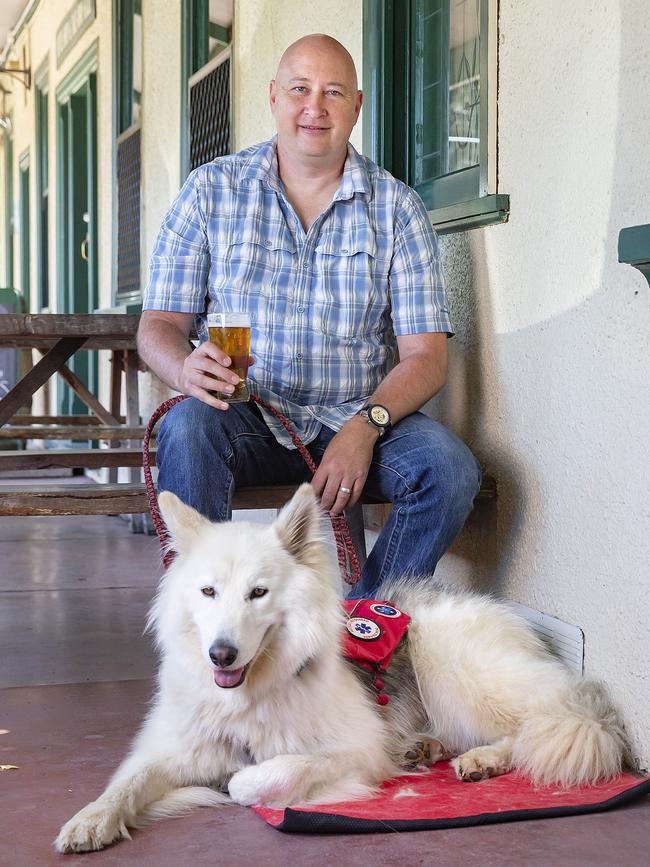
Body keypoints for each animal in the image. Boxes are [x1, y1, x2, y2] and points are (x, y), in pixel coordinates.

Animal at [57, 488, 628, 856]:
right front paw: (90, 820)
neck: (253, 694)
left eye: (258, 593)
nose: (221, 654)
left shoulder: (356, 749)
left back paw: (482, 759)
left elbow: (259, 776)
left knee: (538, 724)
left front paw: (236, 782)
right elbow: (127, 782)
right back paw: (425, 748)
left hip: (458, 673)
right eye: (208, 591)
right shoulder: (175, 748)